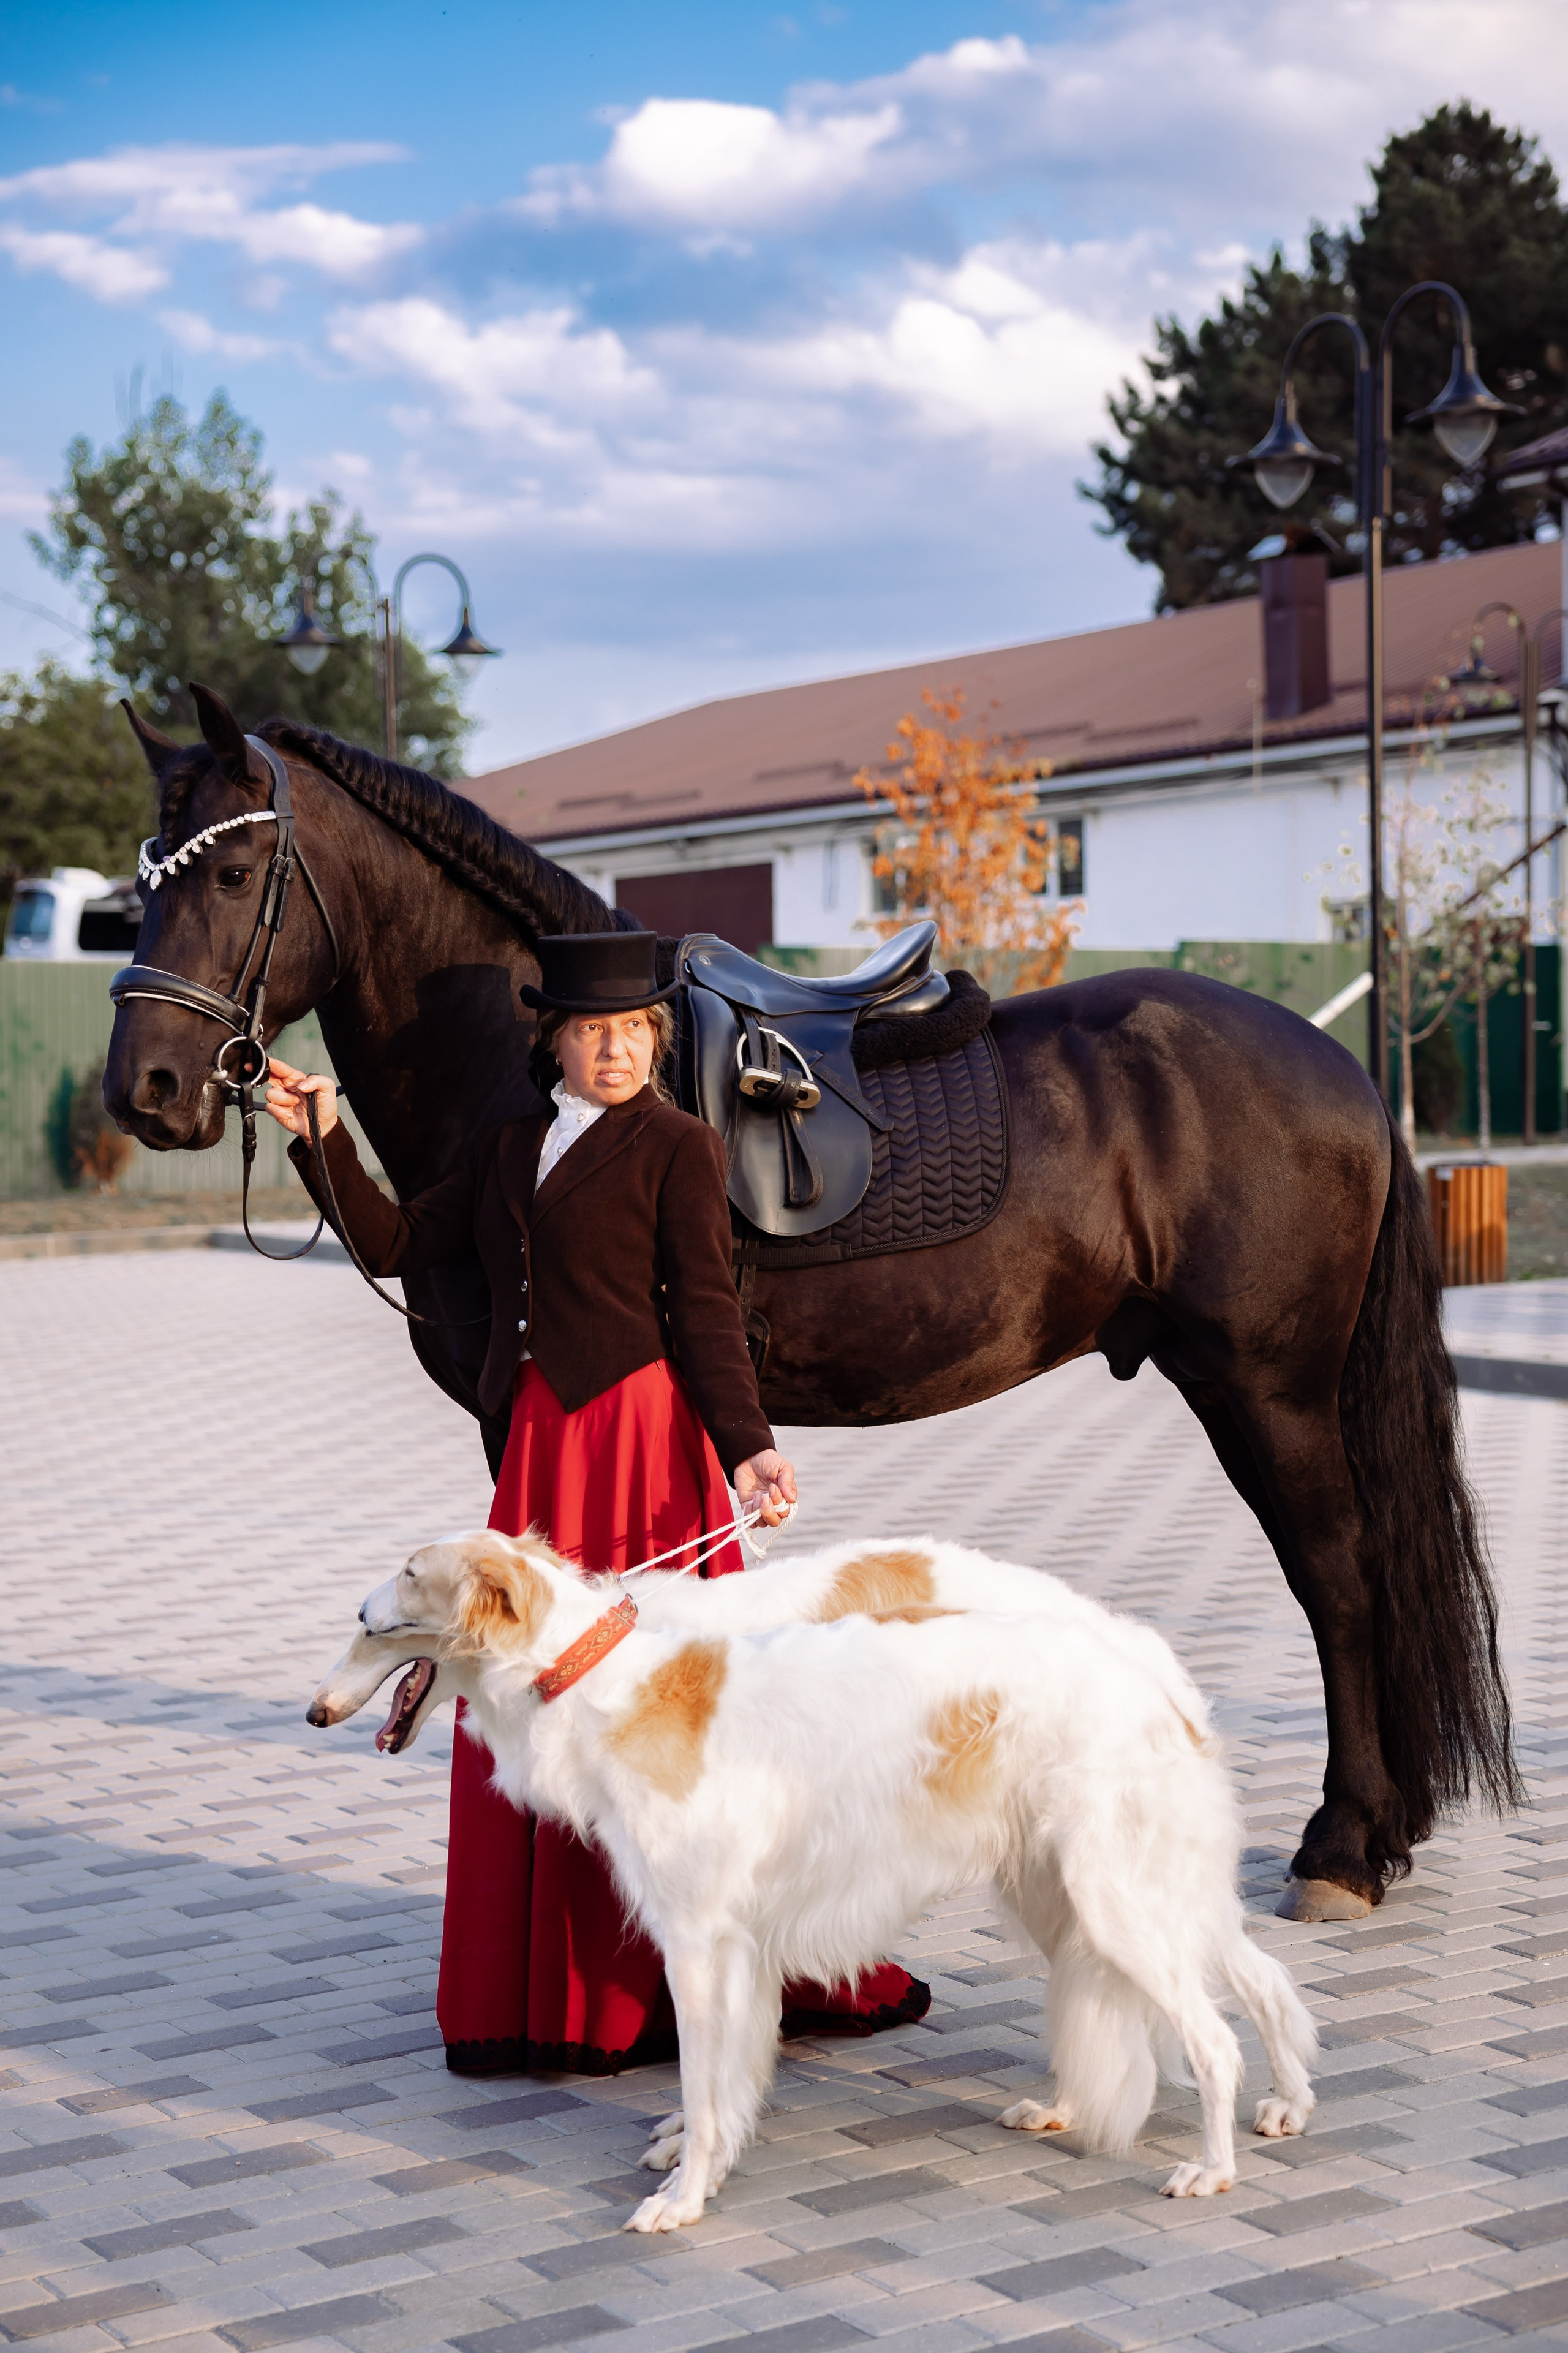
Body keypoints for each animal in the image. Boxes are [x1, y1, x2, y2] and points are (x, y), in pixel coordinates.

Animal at [103, 686, 1520, 1919]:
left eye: (235, 873)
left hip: (1266, 1388)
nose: (148, 1088)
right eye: (144, 877)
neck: (527, 1072)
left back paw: (1341, 1846)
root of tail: (1342, 1066)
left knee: (1339, 1581)